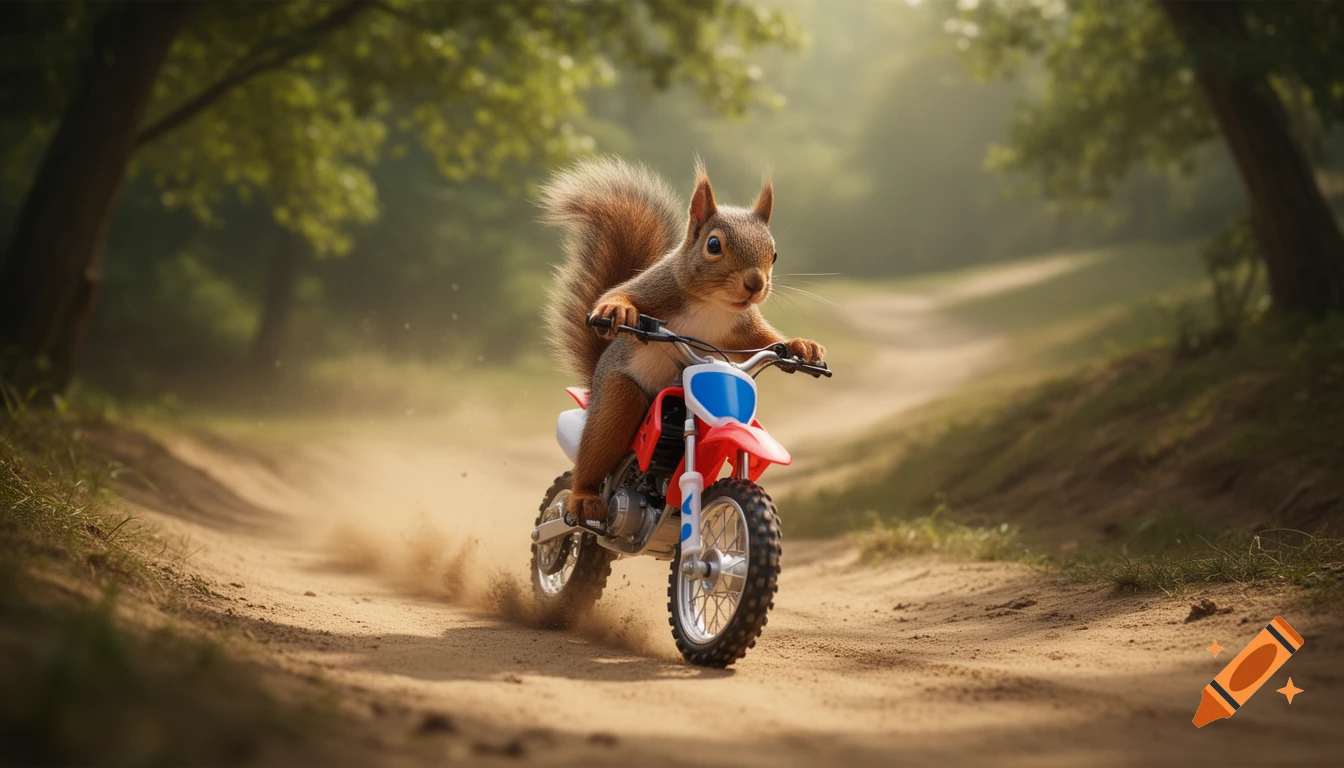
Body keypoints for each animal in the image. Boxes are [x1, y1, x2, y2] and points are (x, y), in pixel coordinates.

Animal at [539, 156, 825, 524]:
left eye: (774, 254)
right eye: (713, 245)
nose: (755, 284)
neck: (712, 305)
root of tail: (592, 383)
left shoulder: (741, 330)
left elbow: (766, 339)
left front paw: (802, 347)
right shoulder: (658, 287)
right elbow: (623, 293)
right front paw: (617, 309)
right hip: (618, 397)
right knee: (595, 452)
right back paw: (584, 499)